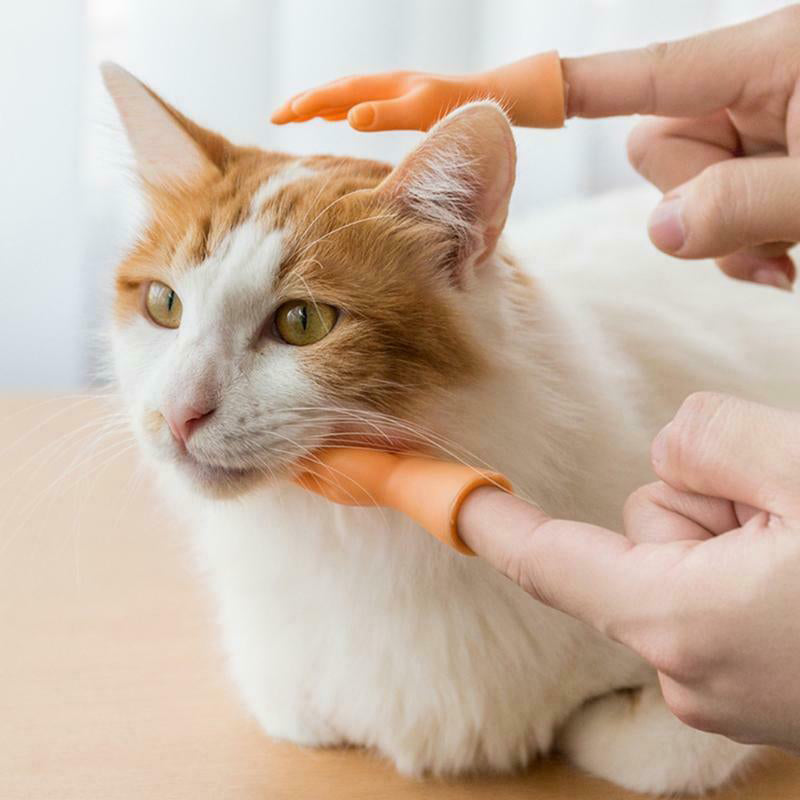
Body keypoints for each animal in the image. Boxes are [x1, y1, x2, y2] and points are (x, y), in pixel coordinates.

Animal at [103, 62, 800, 792]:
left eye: (303, 322)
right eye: (164, 305)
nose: (176, 412)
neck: (356, 541)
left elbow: (645, 746)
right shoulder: (282, 685)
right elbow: (301, 705)